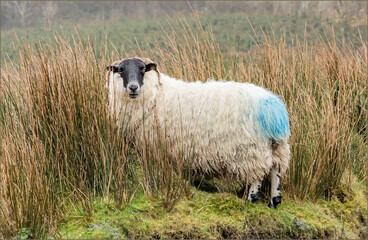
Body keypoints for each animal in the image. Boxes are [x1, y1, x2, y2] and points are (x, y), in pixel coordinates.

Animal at [105, 57, 290, 208]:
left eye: (143, 69)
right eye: (121, 70)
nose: (133, 87)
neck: (155, 95)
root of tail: (273, 109)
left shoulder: (154, 146)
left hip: (251, 149)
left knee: (258, 174)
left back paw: (250, 199)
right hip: (277, 146)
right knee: (276, 170)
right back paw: (274, 202)